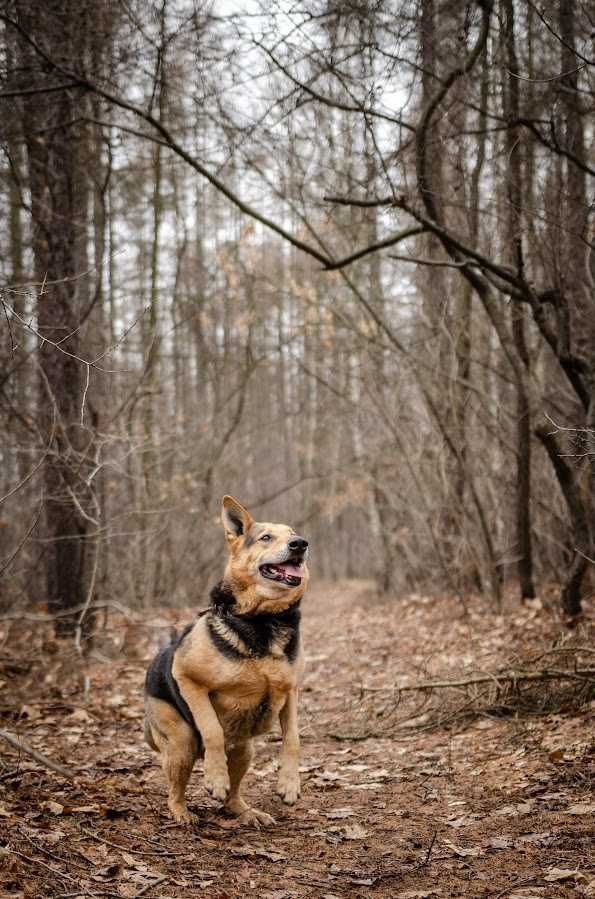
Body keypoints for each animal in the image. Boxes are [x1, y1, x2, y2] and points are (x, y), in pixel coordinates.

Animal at [144, 496, 312, 828]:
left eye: (292, 533)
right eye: (266, 537)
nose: (300, 544)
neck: (263, 621)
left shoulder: (290, 691)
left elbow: (293, 739)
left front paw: (289, 784)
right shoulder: (189, 679)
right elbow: (212, 730)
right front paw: (215, 778)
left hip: (244, 748)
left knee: (233, 796)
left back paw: (245, 811)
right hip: (182, 742)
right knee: (175, 789)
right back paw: (182, 813)